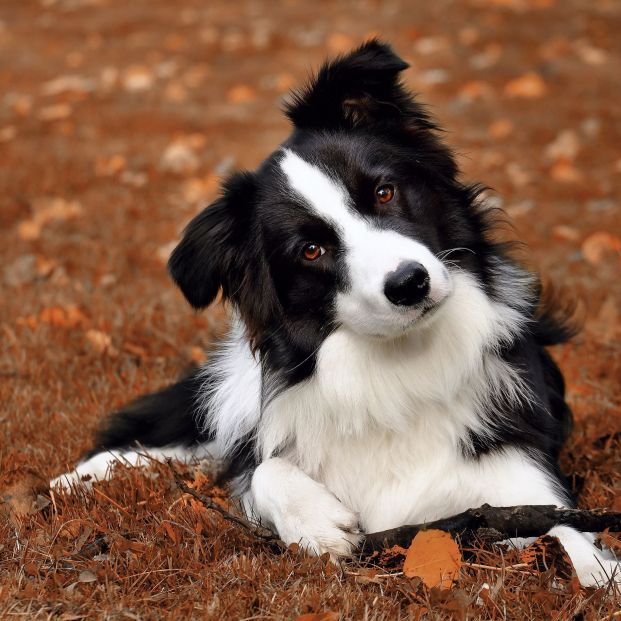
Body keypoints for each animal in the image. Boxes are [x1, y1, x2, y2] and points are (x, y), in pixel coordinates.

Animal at [54, 42, 620, 588]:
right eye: (311, 251)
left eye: (384, 192)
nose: (409, 283)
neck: (403, 365)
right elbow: (262, 467)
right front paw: (318, 522)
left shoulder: (522, 479)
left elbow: (575, 544)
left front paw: (590, 572)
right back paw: (76, 478)